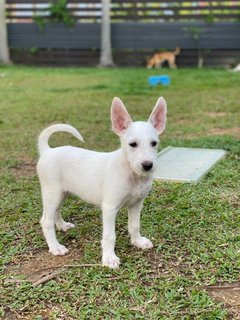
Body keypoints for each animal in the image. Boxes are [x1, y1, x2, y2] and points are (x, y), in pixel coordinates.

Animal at [37, 97, 167, 268]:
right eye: (132, 144)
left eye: (154, 143)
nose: (147, 165)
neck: (131, 173)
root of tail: (47, 151)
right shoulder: (110, 208)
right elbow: (110, 235)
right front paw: (109, 258)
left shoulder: (136, 204)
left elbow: (134, 225)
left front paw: (138, 241)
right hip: (52, 193)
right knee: (46, 221)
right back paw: (55, 247)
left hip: (62, 193)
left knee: (56, 212)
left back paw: (62, 226)